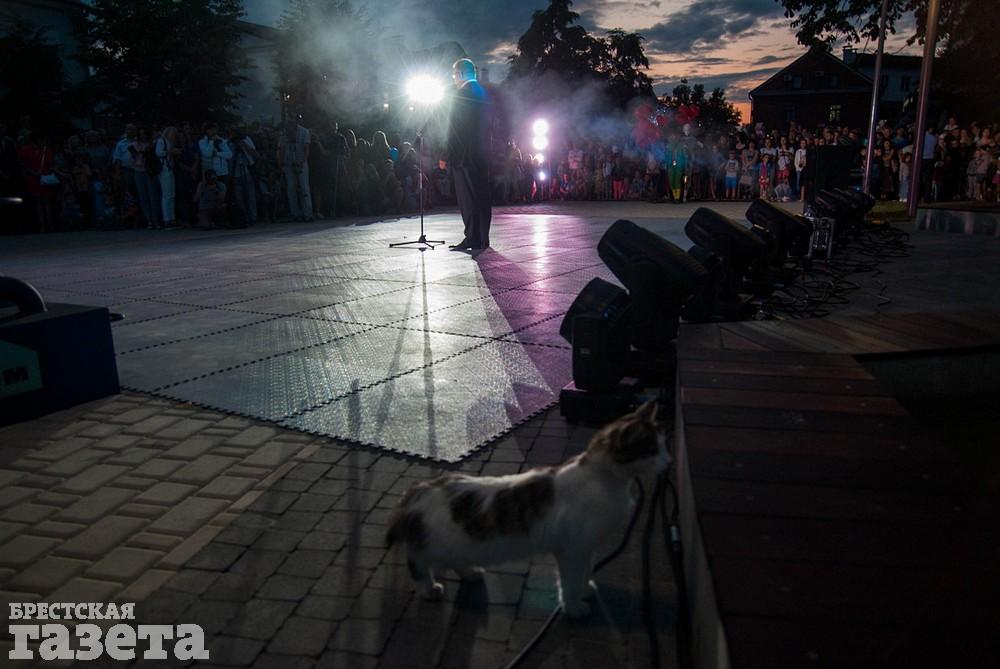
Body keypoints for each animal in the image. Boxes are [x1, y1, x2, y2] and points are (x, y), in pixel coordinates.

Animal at [386, 400, 670, 618]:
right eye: (653, 451)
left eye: (664, 447)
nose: (668, 462)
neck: (605, 480)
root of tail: (419, 489)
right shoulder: (572, 549)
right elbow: (569, 580)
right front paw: (573, 606)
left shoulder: (586, 545)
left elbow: (585, 571)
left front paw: (585, 589)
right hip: (432, 545)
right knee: (417, 562)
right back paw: (429, 589)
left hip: (455, 543)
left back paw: (469, 572)